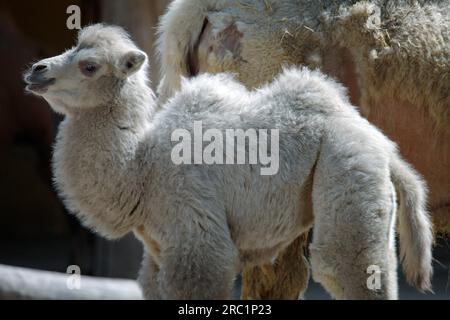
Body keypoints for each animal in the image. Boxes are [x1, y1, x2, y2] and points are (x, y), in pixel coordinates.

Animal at [25, 25, 432, 300]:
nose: (36, 70)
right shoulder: (157, 255)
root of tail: (383, 145)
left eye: (89, 66)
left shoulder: (197, 239)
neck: (140, 171)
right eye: (72, 46)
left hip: (347, 167)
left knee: (346, 264)